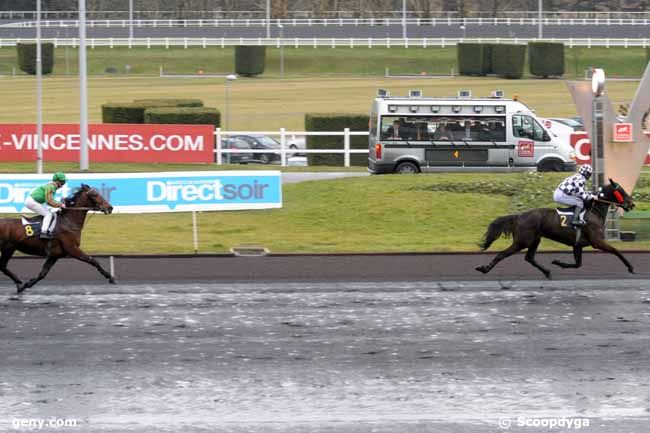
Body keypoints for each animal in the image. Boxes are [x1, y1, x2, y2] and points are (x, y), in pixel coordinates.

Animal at [474, 178, 636, 276]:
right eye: (620, 190)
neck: (593, 211)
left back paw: (547, 272)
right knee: (502, 254)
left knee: (529, 257)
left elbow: (578, 264)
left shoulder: (578, 245)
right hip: (522, 241)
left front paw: (558, 262)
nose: (632, 204)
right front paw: (630, 267)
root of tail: (518, 216)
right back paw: (484, 269)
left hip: (535, 240)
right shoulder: (598, 242)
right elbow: (616, 251)